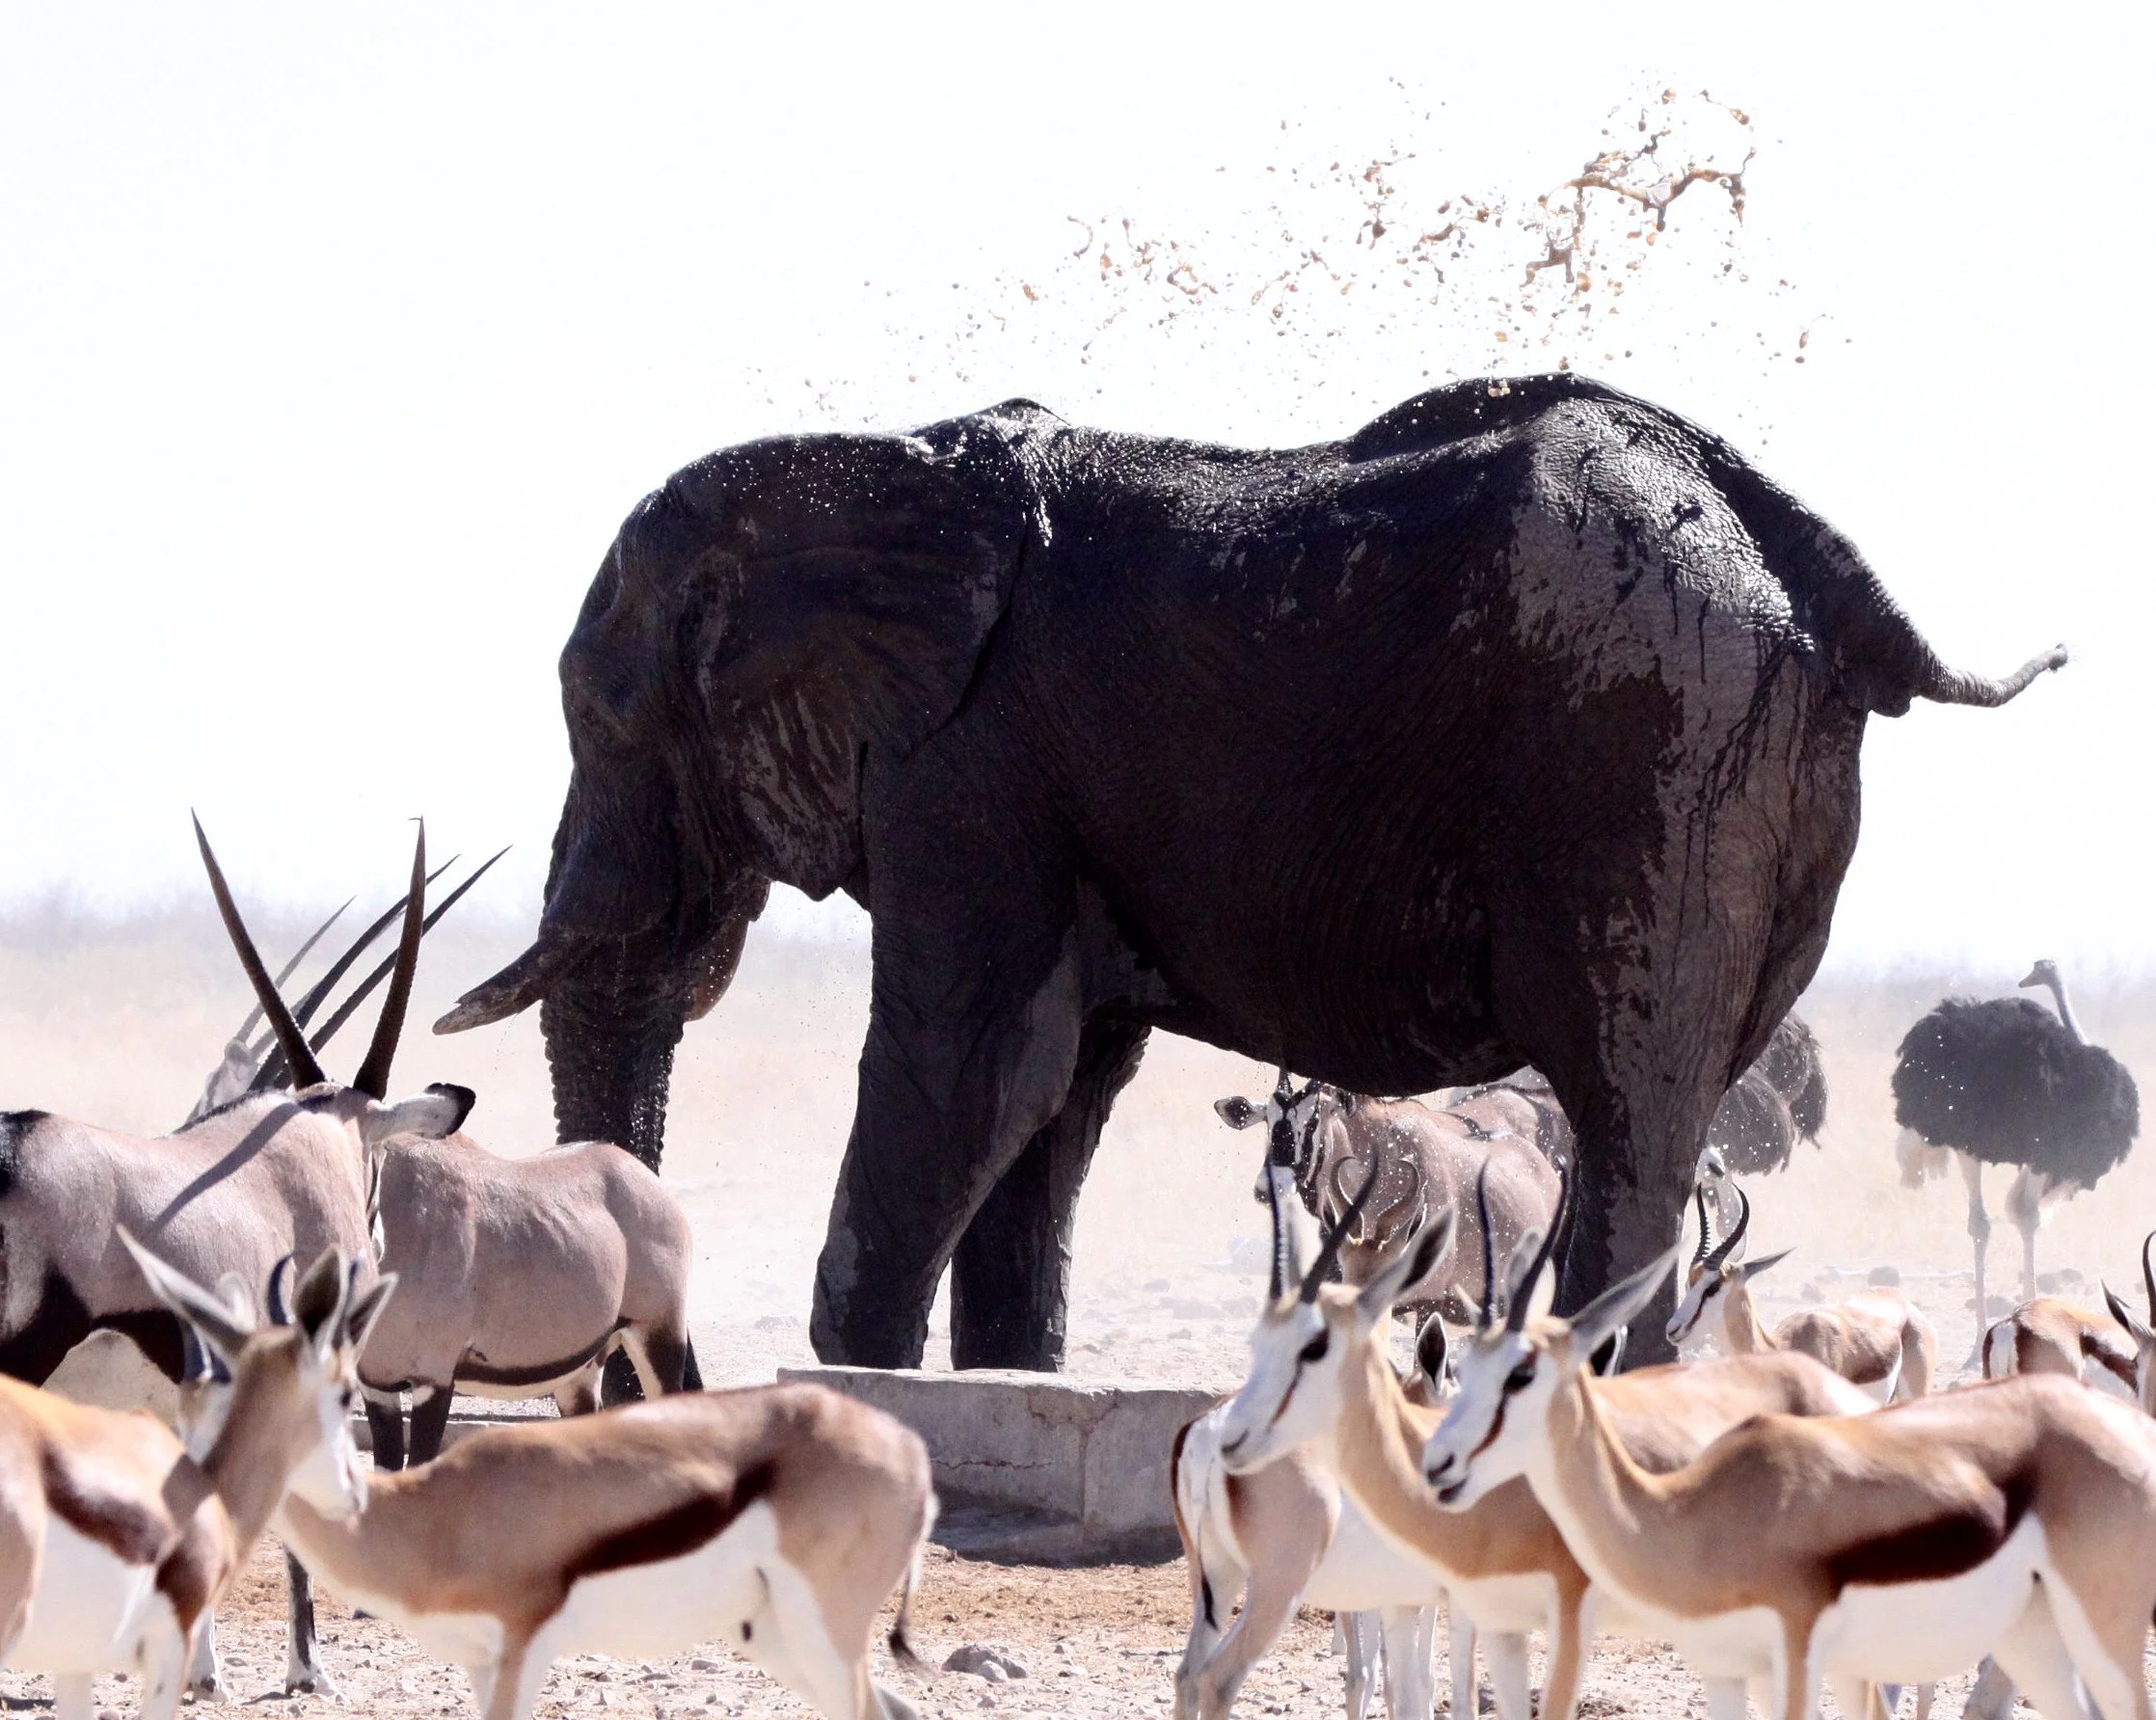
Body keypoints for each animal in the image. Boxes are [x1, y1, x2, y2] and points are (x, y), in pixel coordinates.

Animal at [438, 373, 2064, 1370]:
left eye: (605, 714)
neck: (879, 462)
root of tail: (1827, 580)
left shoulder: (970, 766)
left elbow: (976, 1074)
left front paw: (855, 1389)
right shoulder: (1042, 798)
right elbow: (1055, 1100)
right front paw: (1003, 1378)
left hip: (1650, 760)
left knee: (1630, 1117)